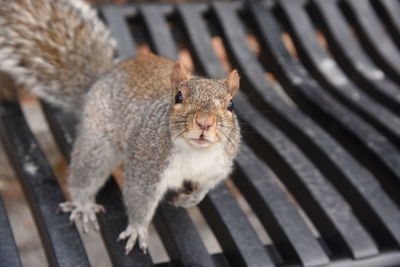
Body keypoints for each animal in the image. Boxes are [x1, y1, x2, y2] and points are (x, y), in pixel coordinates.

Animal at [0, 0, 241, 254]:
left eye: (231, 105)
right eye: (178, 97)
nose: (204, 122)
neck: (194, 153)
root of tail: (99, 81)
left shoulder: (218, 165)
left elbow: (209, 183)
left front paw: (193, 198)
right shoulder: (146, 166)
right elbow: (138, 199)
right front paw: (137, 228)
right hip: (97, 146)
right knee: (84, 175)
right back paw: (84, 205)